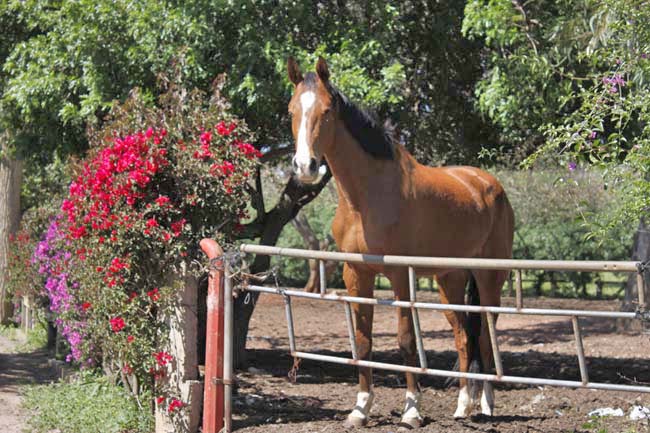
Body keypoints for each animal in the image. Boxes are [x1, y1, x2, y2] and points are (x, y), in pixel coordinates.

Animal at [284, 58, 512, 428]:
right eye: (292, 110)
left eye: (327, 110)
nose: (306, 166)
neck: (366, 198)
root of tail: (487, 183)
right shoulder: (356, 275)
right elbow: (363, 342)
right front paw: (360, 409)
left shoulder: (401, 276)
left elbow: (406, 341)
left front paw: (412, 411)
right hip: (450, 280)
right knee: (464, 337)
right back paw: (463, 404)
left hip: (490, 279)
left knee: (485, 336)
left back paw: (486, 405)